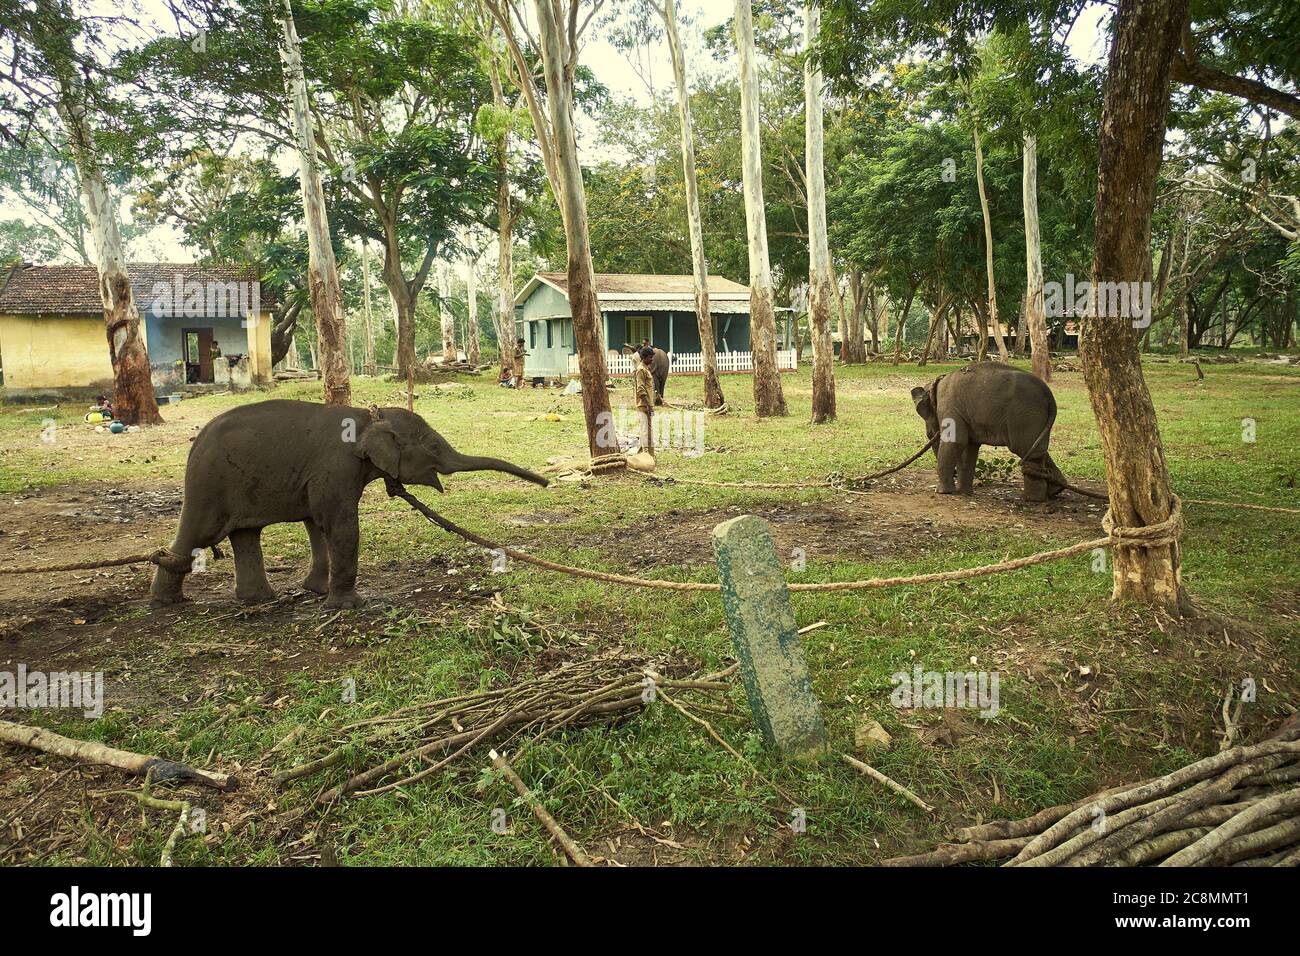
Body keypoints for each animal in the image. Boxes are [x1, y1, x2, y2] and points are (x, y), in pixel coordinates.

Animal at [150, 400, 549, 609]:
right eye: (434, 448)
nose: (546, 483)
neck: (369, 416)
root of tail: (195, 444)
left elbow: (316, 522)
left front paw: (317, 591)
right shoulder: (336, 467)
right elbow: (339, 524)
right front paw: (348, 605)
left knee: (246, 534)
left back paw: (258, 600)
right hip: (209, 485)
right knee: (197, 536)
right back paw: (167, 603)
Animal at [910, 362, 1067, 500]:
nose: (930, 434)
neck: (937, 384)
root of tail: (1048, 393)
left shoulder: (949, 406)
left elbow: (956, 441)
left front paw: (943, 492)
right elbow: (969, 448)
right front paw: (964, 492)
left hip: (1025, 415)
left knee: (1025, 449)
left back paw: (1033, 499)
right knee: (1037, 450)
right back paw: (1055, 490)